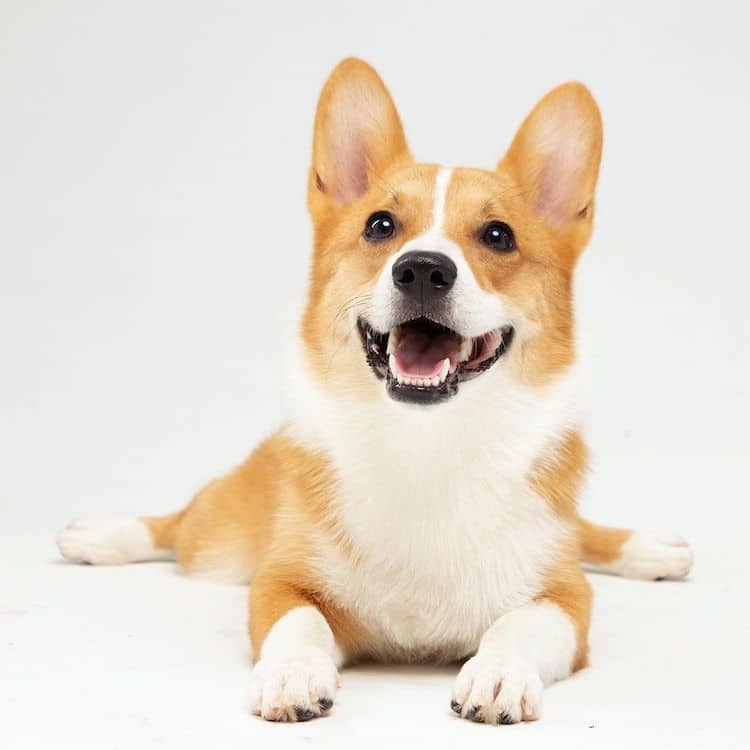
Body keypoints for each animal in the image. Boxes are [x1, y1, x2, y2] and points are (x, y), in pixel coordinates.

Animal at [55, 55, 696, 724]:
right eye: (380, 225)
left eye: (498, 235)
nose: (423, 269)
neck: (426, 443)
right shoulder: (279, 581)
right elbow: (299, 623)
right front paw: (291, 675)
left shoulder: (567, 597)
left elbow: (519, 624)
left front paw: (497, 675)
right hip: (219, 538)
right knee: (178, 524)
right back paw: (98, 536)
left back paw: (649, 548)